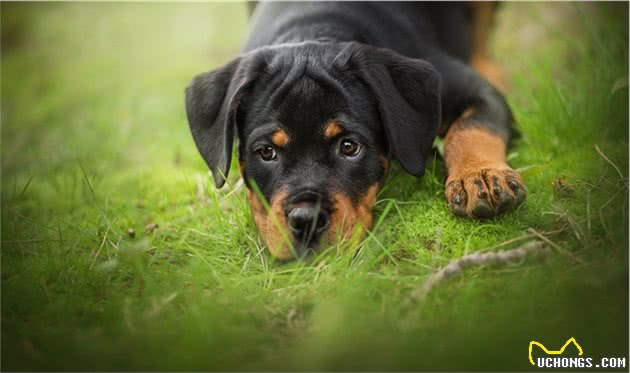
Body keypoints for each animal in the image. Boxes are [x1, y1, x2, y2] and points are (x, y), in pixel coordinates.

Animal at [184, 2, 528, 258]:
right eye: (266, 152)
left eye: (349, 147)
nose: (306, 220)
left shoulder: (470, 89)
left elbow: (472, 128)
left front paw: (481, 177)